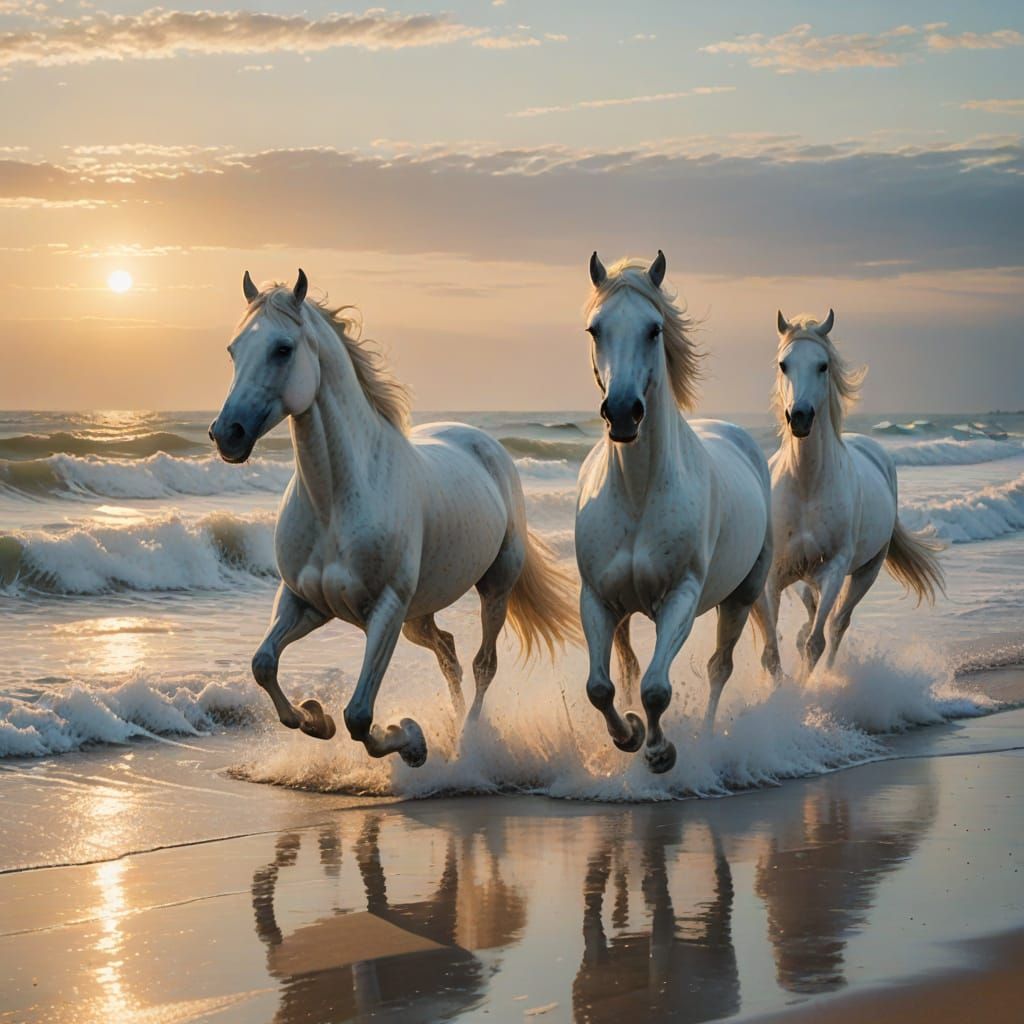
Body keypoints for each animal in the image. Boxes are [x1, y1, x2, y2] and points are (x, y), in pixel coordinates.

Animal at [210, 269, 577, 767]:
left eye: (282, 348)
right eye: (233, 350)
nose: (226, 434)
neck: (336, 502)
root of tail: (481, 441)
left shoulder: (385, 609)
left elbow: (359, 716)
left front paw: (412, 741)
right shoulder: (305, 601)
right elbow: (263, 664)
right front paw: (313, 717)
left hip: (492, 587)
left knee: (483, 664)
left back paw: (468, 739)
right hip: (418, 616)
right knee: (448, 653)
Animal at [574, 251, 773, 774]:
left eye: (654, 329)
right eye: (595, 329)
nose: (623, 412)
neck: (638, 494)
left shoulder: (680, 598)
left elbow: (656, 689)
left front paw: (660, 751)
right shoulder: (598, 599)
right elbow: (601, 687)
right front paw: (628, 735)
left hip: (742, 596)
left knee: (720, 668)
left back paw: (706, 736)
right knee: (626, 667)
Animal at [754, 309, 944, 681]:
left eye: (823, 365)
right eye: (784, 364)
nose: (800, 417)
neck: (806, 486)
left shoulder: (834, 569)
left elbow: (816, 643)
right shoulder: (775, 575)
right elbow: (772, 650)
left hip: (866, 571)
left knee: (838, 624)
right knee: (812, 610)